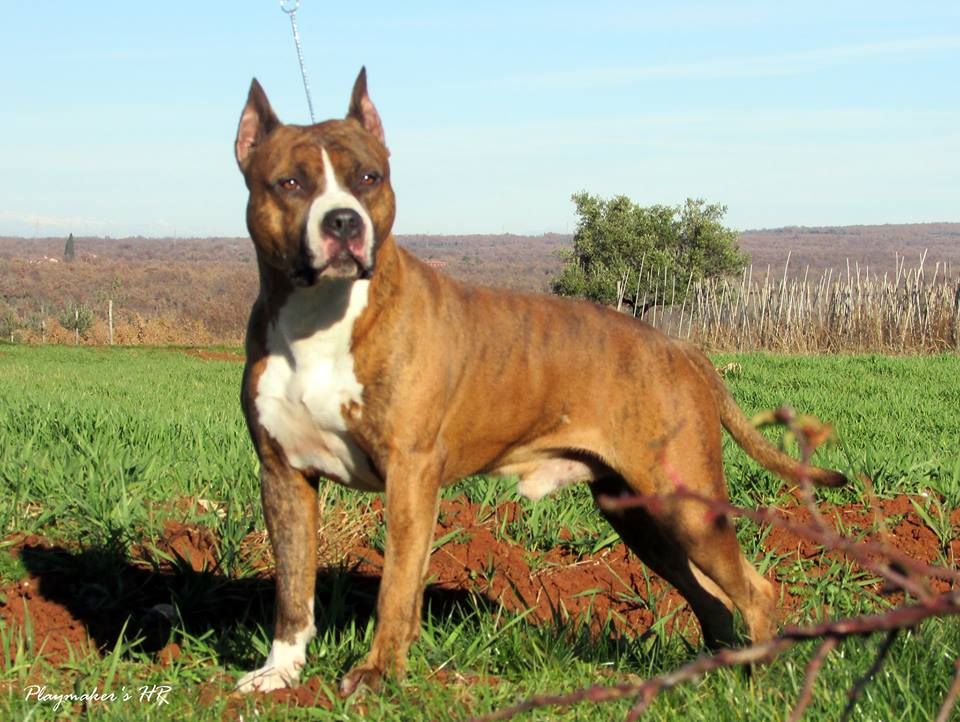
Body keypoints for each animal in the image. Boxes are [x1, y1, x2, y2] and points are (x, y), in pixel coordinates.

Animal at [232, 68, 846, 695]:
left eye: (368, 178)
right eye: (289, 182)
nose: (343, 221)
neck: (323, 316)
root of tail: (678, 346)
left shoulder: (410, 473)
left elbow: (396, 587)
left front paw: (379, 674)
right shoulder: (283, 476)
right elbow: (293, 589)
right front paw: (279, 673)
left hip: (684, 504)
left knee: (754, 588)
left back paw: (757, 678)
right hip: (639, 516)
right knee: (711, 597)